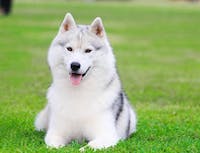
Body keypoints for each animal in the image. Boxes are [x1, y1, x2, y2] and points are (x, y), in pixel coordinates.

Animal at [35, 12, 137, 151]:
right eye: (69, 49)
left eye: (88, 50)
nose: (75, 65)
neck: (79, 92)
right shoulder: (55, 133)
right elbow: (55, 145)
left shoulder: (107, 135)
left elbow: (88, 147)